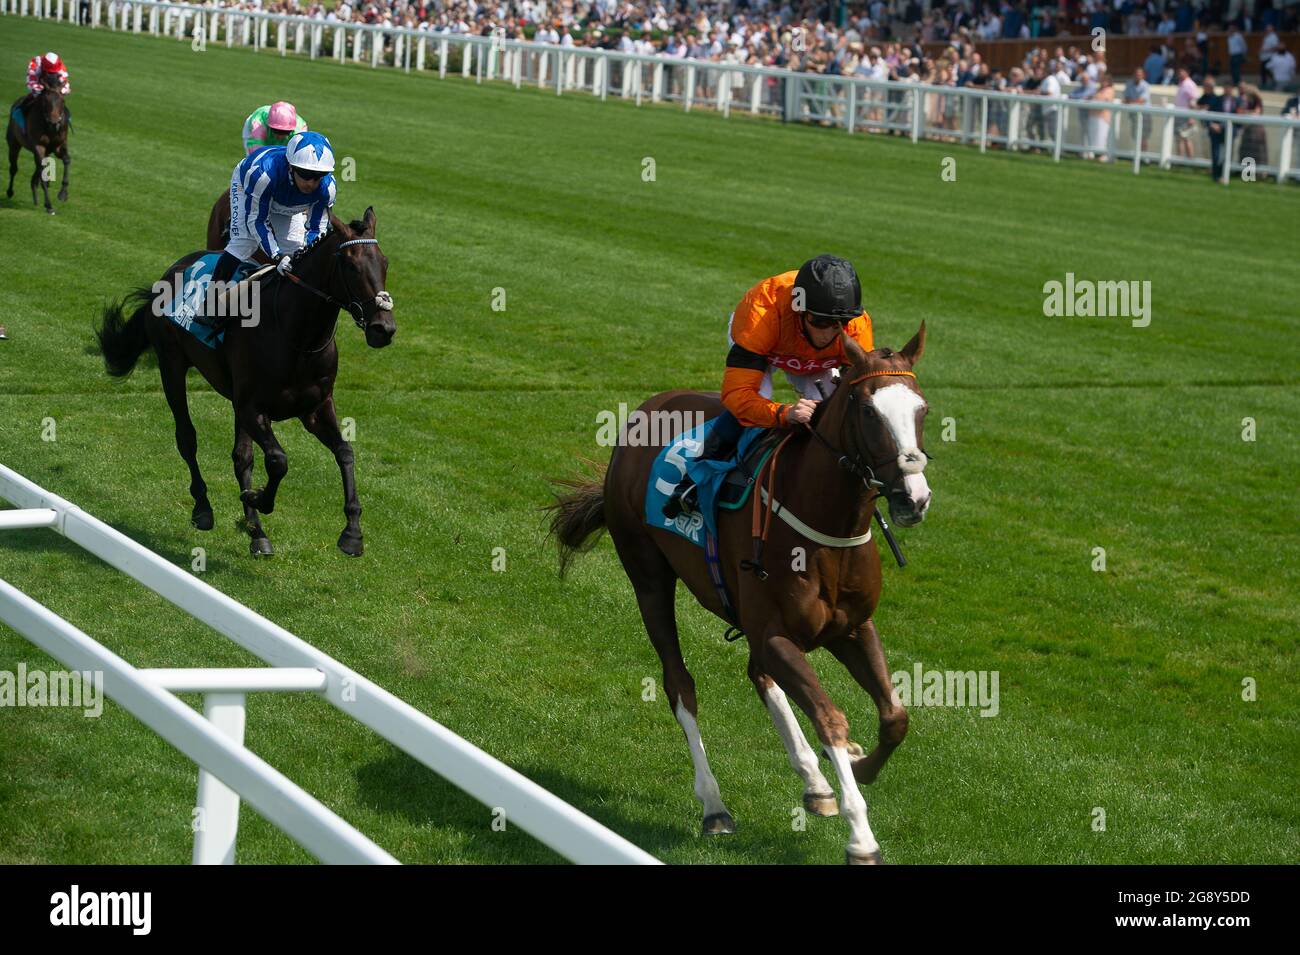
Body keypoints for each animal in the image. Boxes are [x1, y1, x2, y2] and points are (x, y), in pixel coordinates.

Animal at [6, 76, 71, 214]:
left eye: (62, 101)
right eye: (45, 101)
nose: (54, 122)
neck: (50, 129)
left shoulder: (58, 146)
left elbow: (67, 160)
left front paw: (63, 194)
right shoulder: (38, 146)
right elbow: (43, 174)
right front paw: (49, 205)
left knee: (36, 173)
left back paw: (35, 198)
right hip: (14, 144)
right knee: (14, 168)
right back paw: (10, 191)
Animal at [95, 205, 392, 556]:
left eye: (385, 263)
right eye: (350, 265)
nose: (383, 328)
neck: (296, 335)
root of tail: (172, 270)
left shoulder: (315, 408)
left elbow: (345, 452)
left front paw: (352, 532)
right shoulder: (252, 407)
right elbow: (278, 460)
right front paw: (259, 498)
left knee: (242, 457)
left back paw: (256, 532)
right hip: (171, 365)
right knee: (187, 438)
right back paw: (203, 508)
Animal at [548, 324, 935, 862]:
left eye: (922, 409)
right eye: (867, 410)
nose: (913, 499)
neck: (822, 526)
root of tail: (650, 407)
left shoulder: (851, 628)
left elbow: (895, 716)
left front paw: (857, 768)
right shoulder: (774, 633)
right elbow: (830, 718)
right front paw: (861, 834)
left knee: (759, 675)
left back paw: (815, 782)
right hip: (648, 578)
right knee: (680, 684)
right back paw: (715, 806)